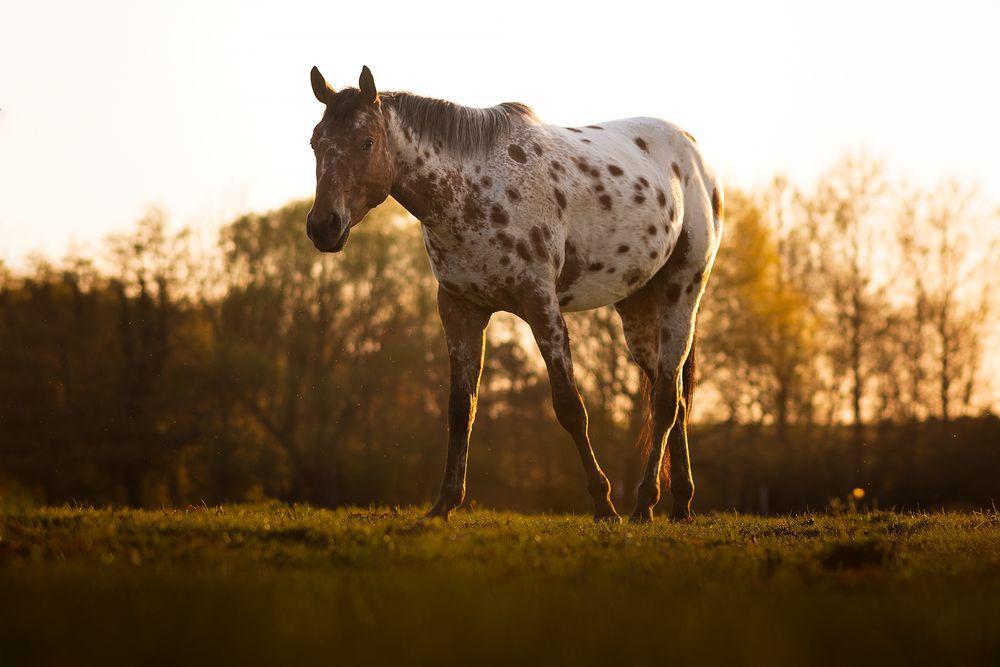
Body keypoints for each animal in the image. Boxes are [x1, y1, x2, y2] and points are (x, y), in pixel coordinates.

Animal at [306, 65, 728, 524]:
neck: (476, 190)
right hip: (636, 308)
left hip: (682, 293)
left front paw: (603, 504)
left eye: (366, 141)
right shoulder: (460, 310)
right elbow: (461, 409)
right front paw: (444, 504)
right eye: (315, 142)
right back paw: (680, 504)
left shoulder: (541, 305)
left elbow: (570, 407)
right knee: (675, 399)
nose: (323, 226)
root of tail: (694, 154)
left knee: (667, 399)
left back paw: (643, 503)